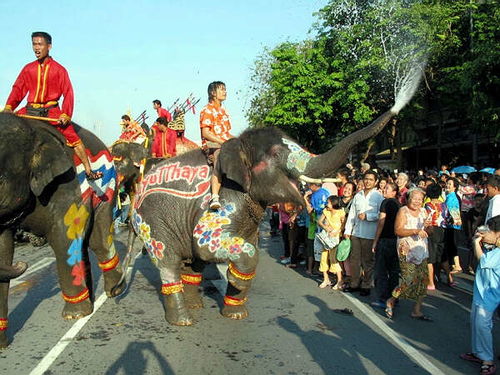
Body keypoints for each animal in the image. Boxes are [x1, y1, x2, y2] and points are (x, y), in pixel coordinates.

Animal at [0, 112, 127, 350]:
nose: (22, 264)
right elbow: (2, 249)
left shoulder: (68, 182)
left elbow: (63, 236)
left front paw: (74, 316)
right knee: (84, 245)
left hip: (107, 187)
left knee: (98, 240)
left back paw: (115, 290)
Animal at [131, 64, 424, 326]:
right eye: (275, 154)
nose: (397, 105)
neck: (238, 144)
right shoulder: (222, 203)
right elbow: (207, 243)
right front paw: (235, 280)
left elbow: (246, 248)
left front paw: (237, 308)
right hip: (152, 222)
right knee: (168, 262)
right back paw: (183, 320)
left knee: (193, 264)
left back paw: (195, 307)